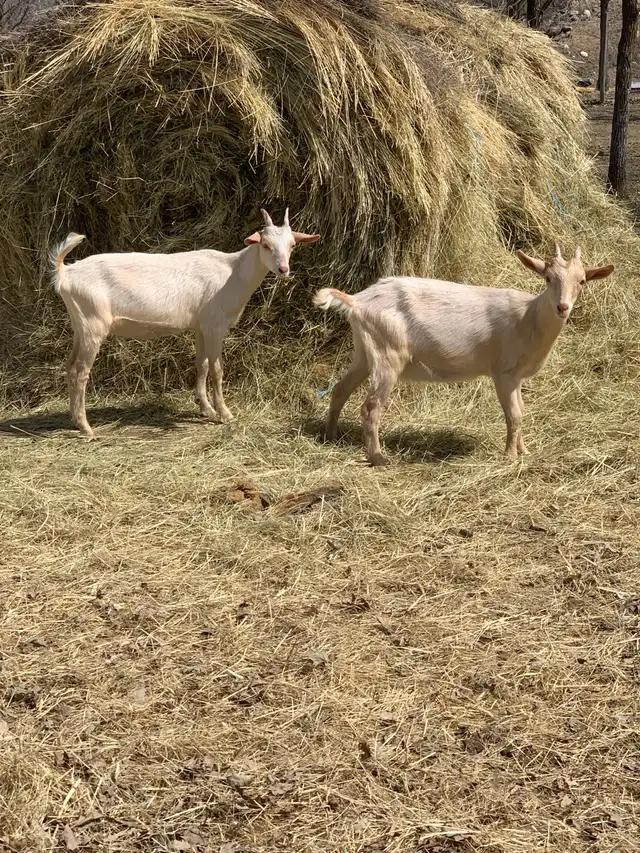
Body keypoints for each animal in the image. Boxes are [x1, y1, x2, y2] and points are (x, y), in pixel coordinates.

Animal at [52, 209, 320, 438]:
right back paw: (86, 427)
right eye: (265, 245)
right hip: (93, 324)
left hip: (80, 325)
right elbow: (217, 369)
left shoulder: (201, 327)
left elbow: (201, 365)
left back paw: (73, 419)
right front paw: (224, 413)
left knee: (70, 365)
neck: (233, 273)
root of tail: (65, 272)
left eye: (292, 245)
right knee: (81, 371)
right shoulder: (214, 326)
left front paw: (205, 408)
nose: (283, 269)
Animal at [313, 245, 614, 466]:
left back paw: (331, 437)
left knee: (340, 390)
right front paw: (510, 456)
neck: (528, 319)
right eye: (548, 279)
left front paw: (524, 450)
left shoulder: (516, 376)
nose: (562, 307)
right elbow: (514, 415)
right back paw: (378, 457)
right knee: (371, 406)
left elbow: (522, 411)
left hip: (365, 352)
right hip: (388, 354)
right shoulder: (503, 372)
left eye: (582, 281)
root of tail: (358, 301)